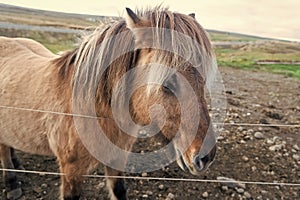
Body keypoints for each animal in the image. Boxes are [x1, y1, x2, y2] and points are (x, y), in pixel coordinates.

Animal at [0, 6, 218, 200]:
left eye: (203, 79)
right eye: (168, 81)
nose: (206, 157)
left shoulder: (117, 159)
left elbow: (119, 191)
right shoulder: (71, 170)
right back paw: (12, 184)